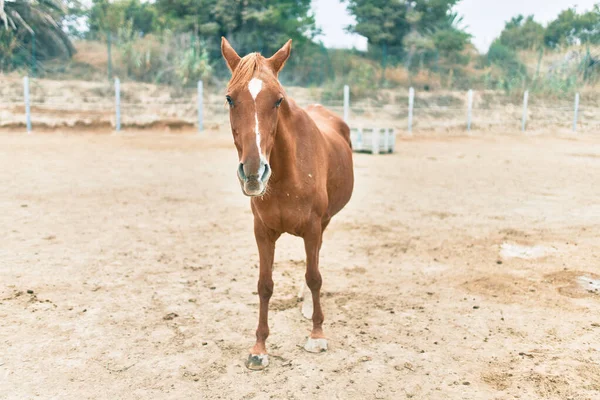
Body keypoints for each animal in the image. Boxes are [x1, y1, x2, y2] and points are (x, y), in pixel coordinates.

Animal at [220, 38, 354, 372]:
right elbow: (264, 285)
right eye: (230, 98)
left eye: (278, 100)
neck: (286, 175)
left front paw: (317, 334)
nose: (253, 172)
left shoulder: (313, 228)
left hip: (324, 222)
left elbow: (314, 276)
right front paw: (259, 348)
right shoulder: (263, 232)